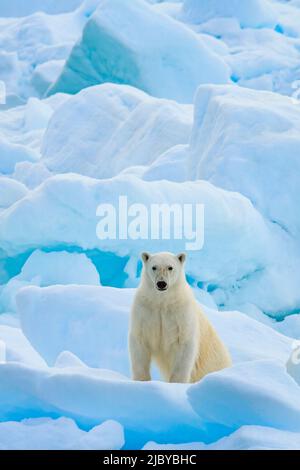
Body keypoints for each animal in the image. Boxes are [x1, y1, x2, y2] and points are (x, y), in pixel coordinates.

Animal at [129, 252, 232, 384]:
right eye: (154, 267)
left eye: (170, 267)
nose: (161, 283)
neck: (163, 301)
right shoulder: (145, 310)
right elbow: (140, 340)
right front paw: (141, 380)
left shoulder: (181, 314)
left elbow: (184, 344)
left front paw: (176, 383)